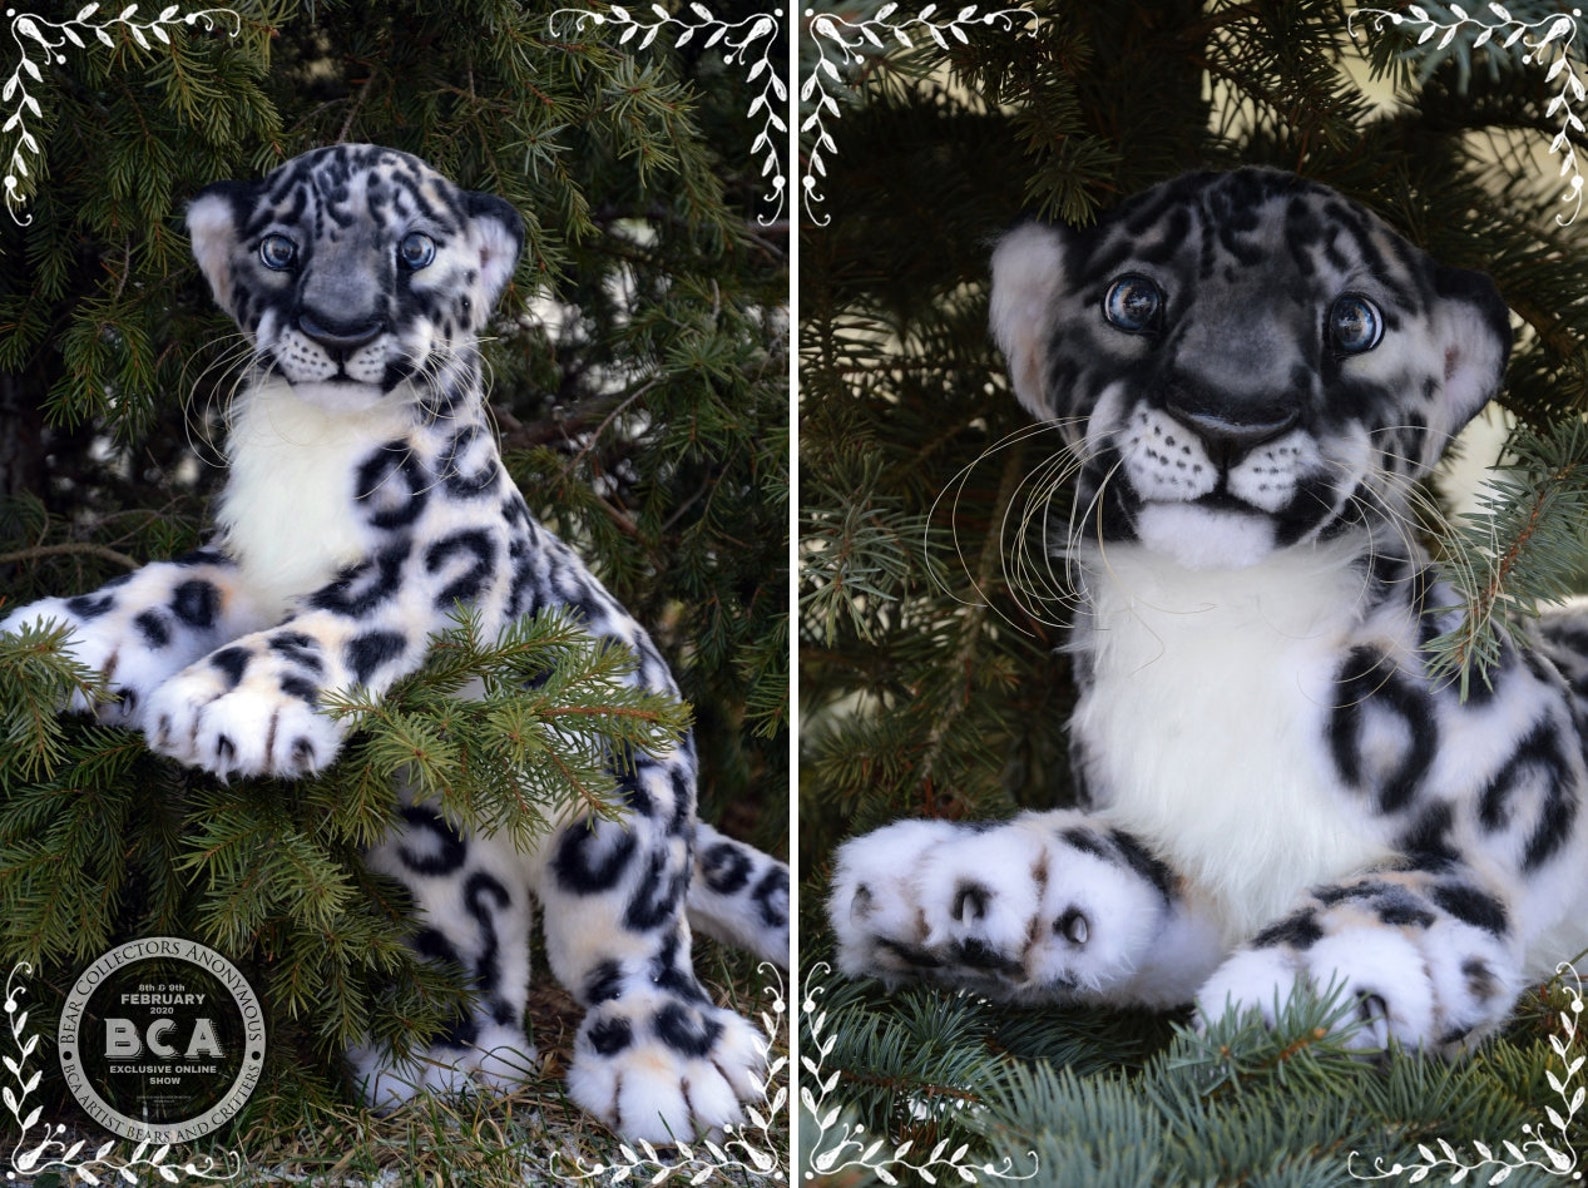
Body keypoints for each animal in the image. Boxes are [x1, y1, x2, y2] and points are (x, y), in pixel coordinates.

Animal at [0, 144, 789, 1142]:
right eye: (281, 247)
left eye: (414, 248)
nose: (341, 328)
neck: (318, 450)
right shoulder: (245, 567)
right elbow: (168, 588)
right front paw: (53, 635)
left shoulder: (435, 563)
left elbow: (326, 626)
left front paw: (222, 705)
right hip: (429, 837)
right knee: (470, 939)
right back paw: (443, 1059)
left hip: (622, 809)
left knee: (632, 951)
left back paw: (672, 1071)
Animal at [827, 167, 1588, 1056]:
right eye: (1134, 300)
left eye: (1354, 321)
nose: (1229, 418)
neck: (1222, 623)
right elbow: (1143, 859)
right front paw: (967, 881)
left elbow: (1430, 875)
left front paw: (1323, 977)